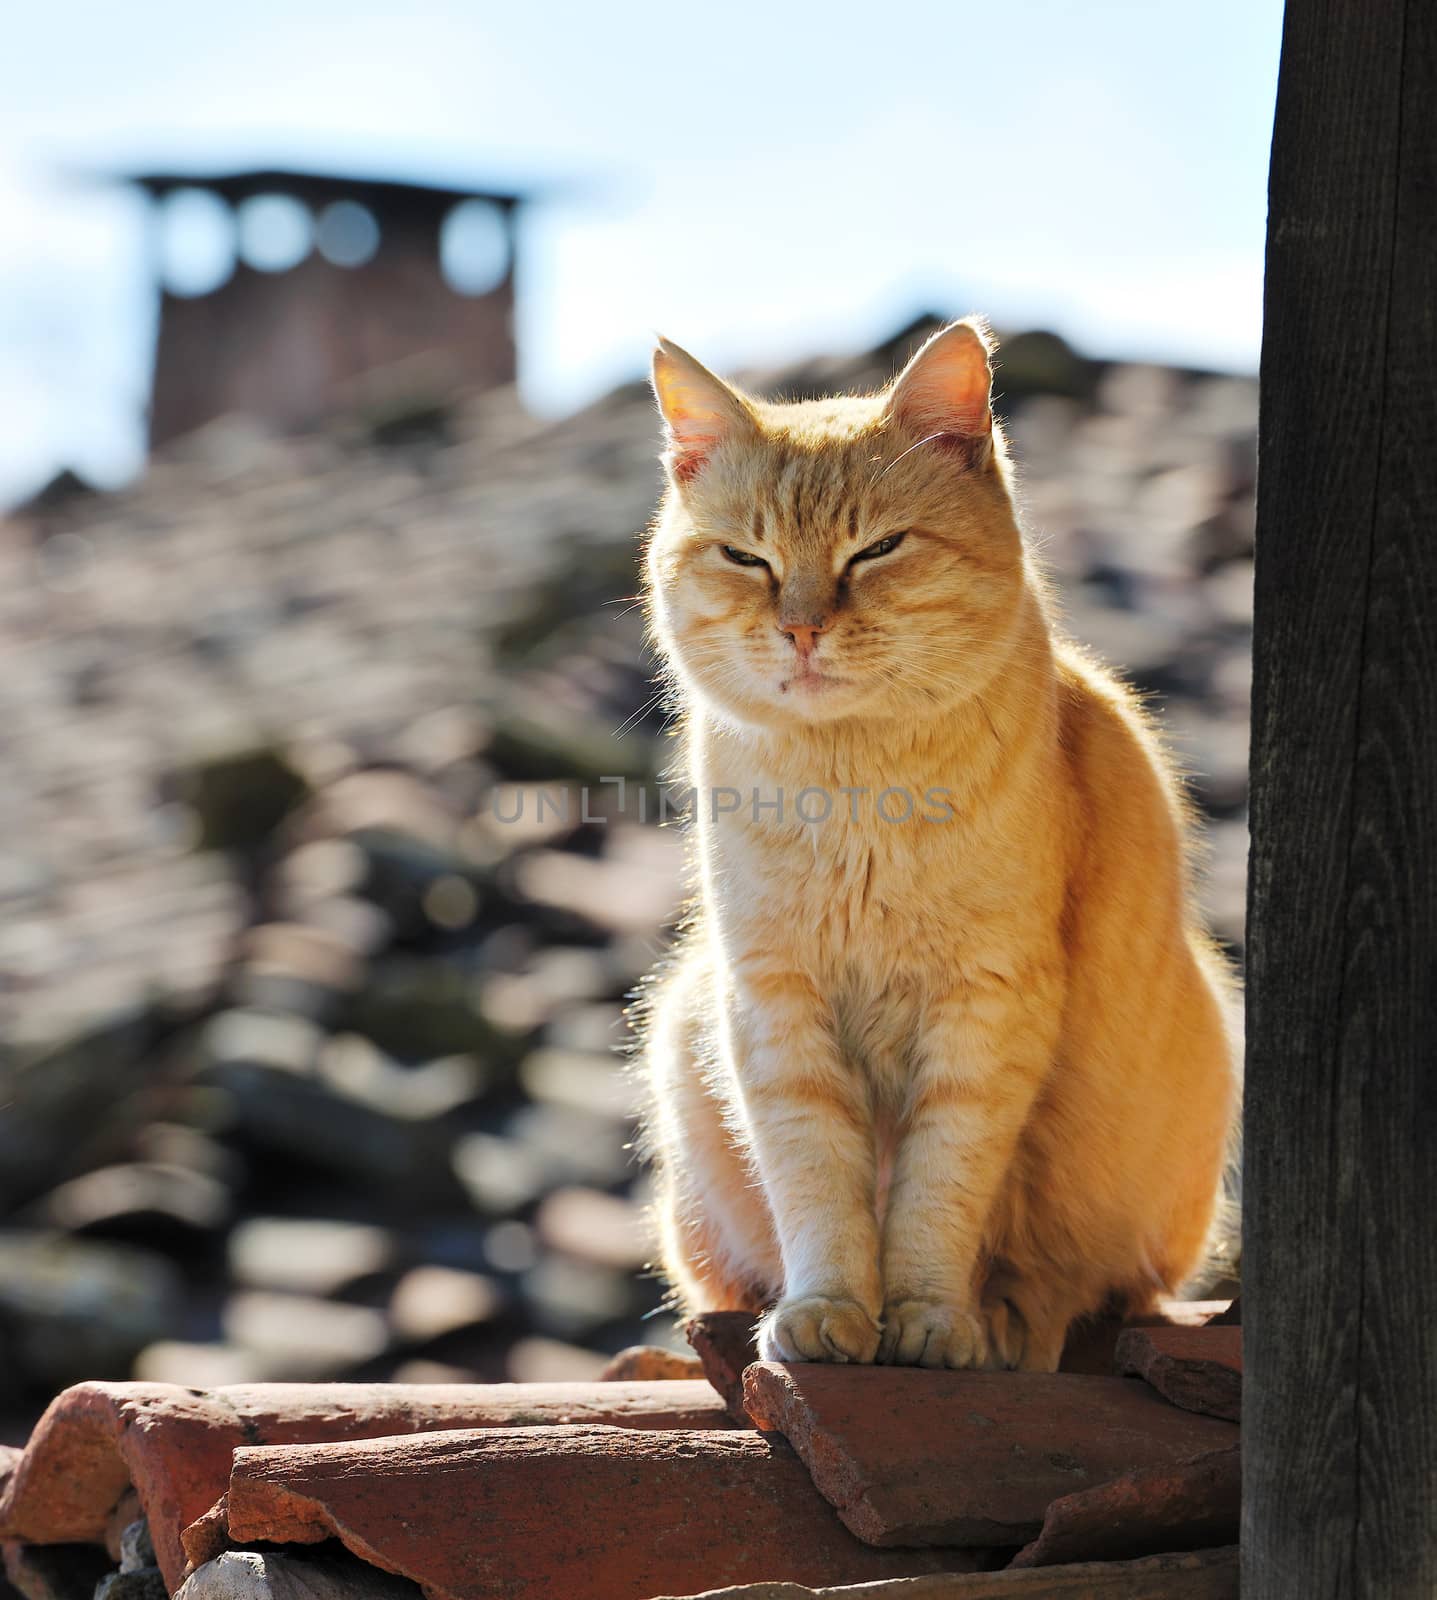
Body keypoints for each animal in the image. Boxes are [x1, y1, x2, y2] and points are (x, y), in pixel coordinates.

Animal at [636, 318, 1228, 1369]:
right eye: (745, 558)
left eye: (876, 550)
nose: (800, 627)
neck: (853, 787)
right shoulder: (774, 1000)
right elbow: (815, 1178)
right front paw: (828, 1310)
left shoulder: (985, 1007)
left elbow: (937, 1190)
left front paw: (929, 1319)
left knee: (1087, 1289)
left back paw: (1011, 1319)